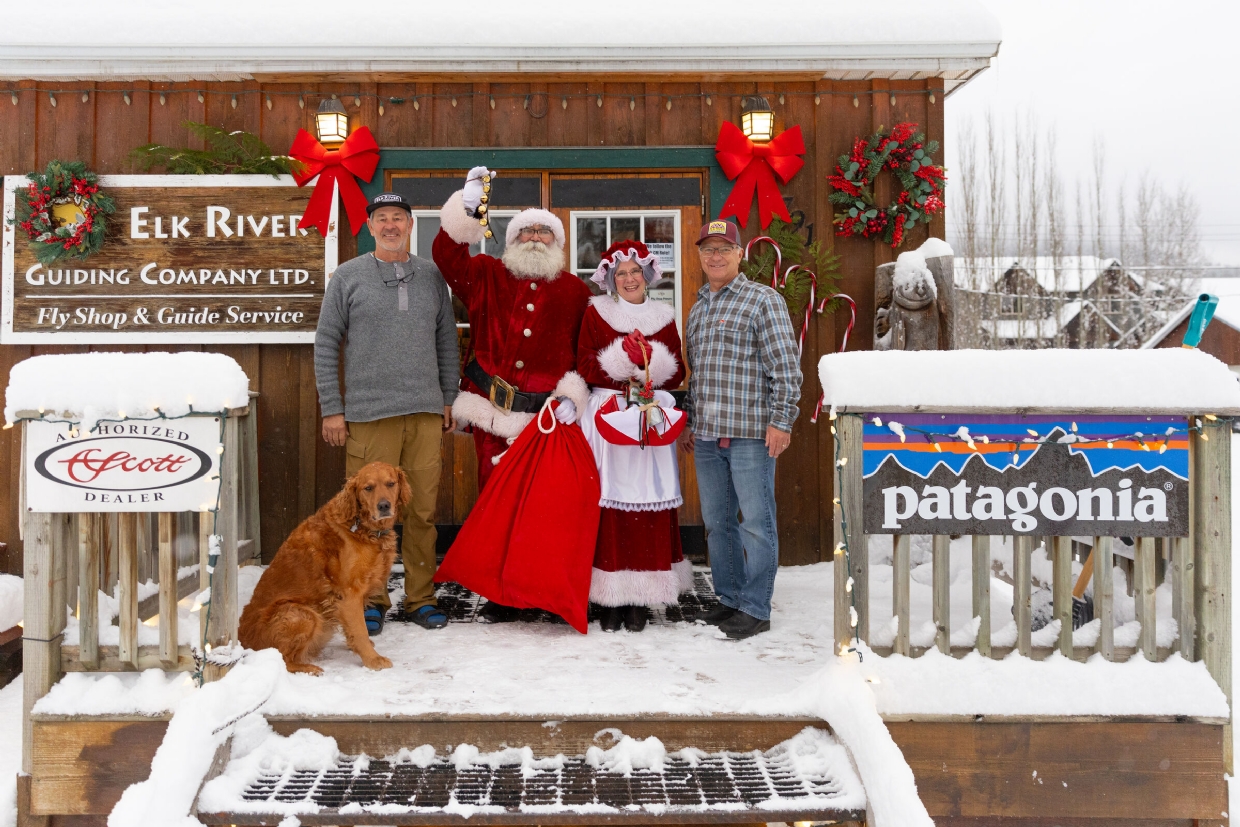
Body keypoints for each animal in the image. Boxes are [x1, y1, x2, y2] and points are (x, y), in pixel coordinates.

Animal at [233, 463, 406, 674]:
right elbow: (360, 630)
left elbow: (353, 630)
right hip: (302, 613)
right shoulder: (349, 594)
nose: (384, 506)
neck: (361, 526)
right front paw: (372, 659)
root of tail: (243, 643)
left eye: (391, 484)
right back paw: (309, 668)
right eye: (368, 488)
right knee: (283, 660)